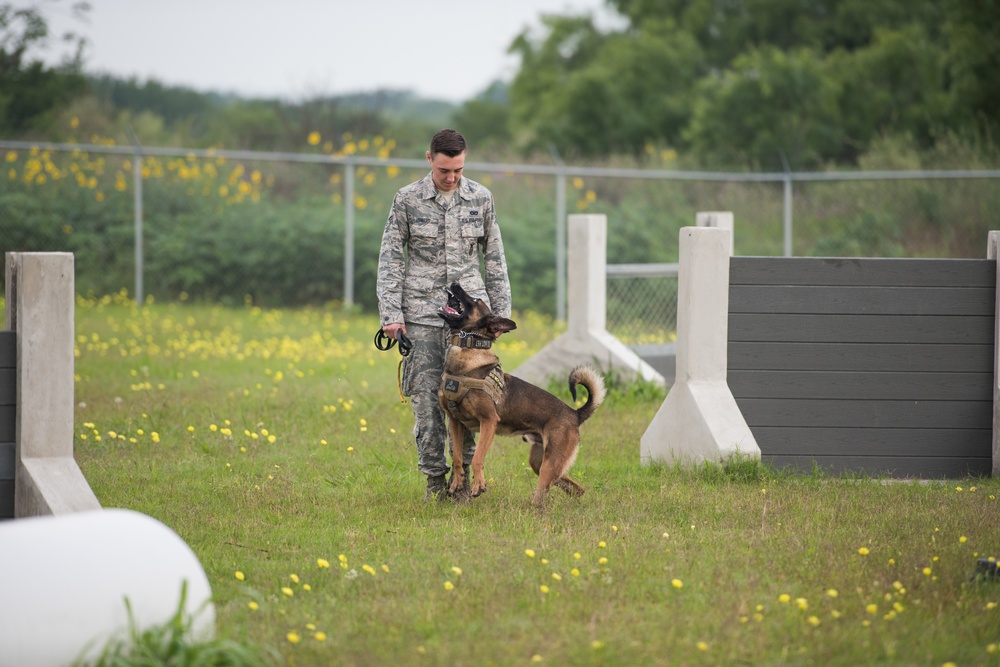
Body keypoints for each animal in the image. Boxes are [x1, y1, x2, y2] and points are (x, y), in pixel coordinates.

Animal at [440, 282, 608, 506]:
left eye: (475, 300)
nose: (454, 283)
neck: (468, 353)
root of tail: (575, 413)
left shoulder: (488, 421)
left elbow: (476, 458)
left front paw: (478, 485)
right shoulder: (455, 422)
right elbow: (458, 458)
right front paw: (457, 483)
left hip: (549, 463)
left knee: (544, 494)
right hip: (540, 462)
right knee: (575, 487)